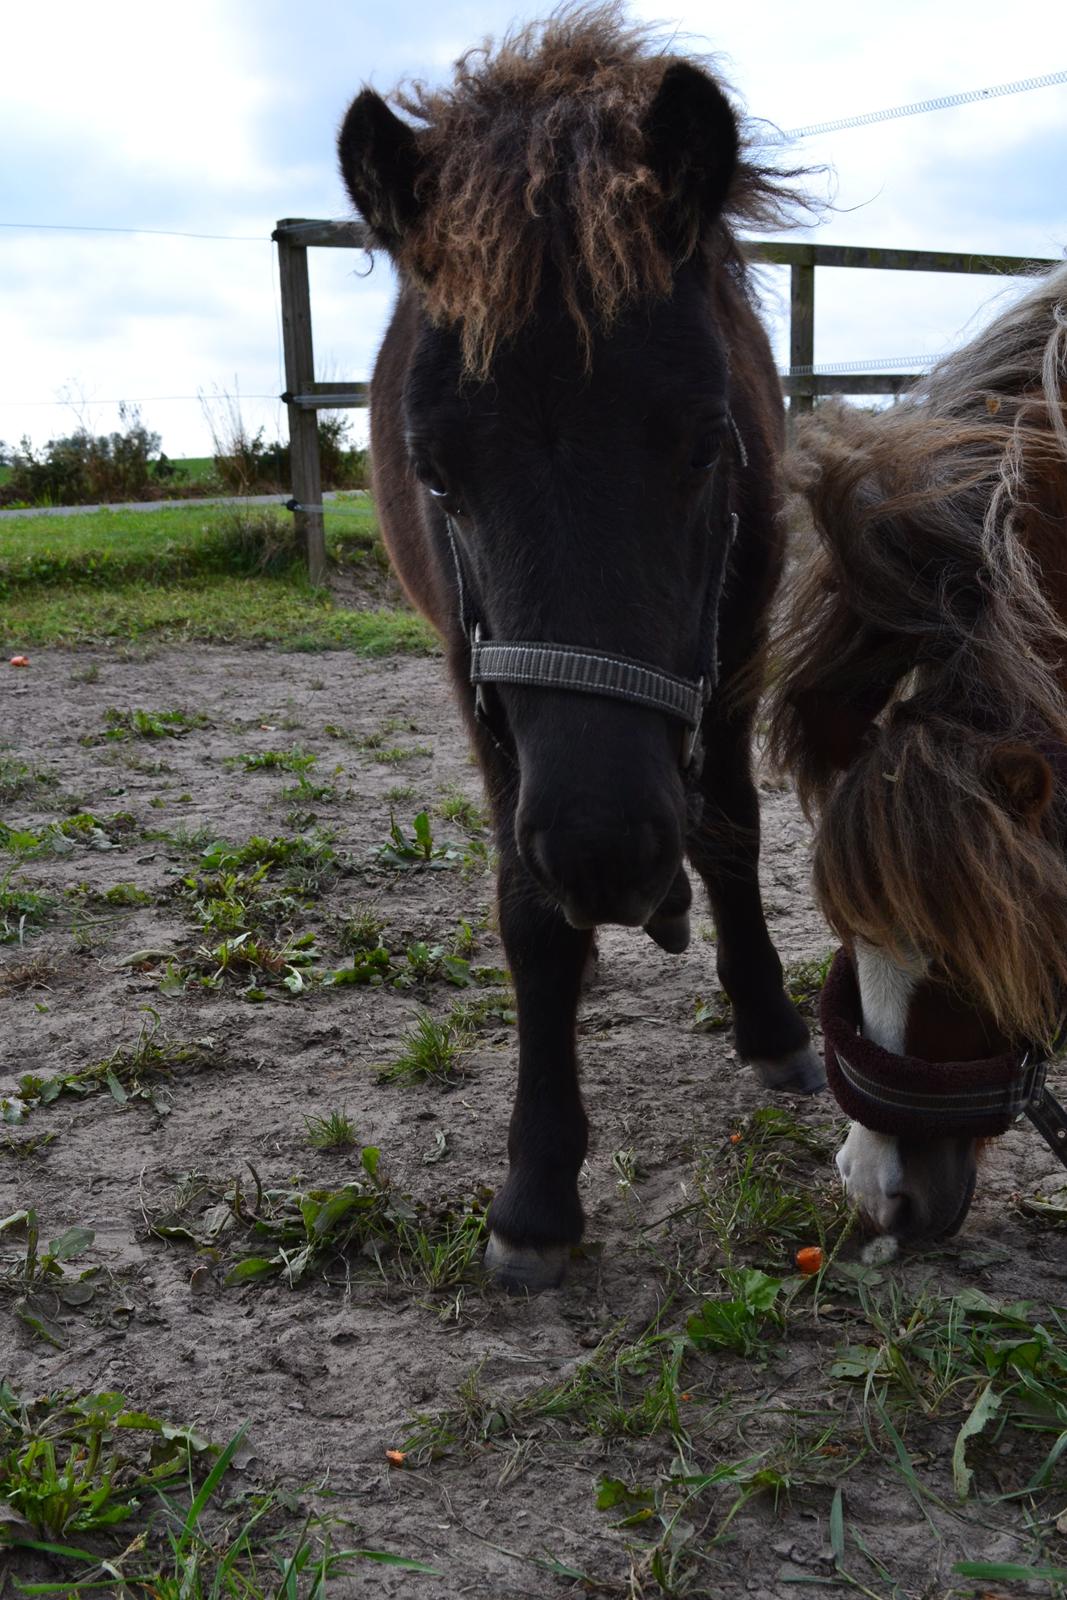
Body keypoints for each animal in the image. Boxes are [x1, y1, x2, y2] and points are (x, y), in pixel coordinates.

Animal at [340, 6, 819, 1292]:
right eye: (435, 470)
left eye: (705, 444)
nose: (604, 855)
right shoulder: (478, 684)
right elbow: (528, 912)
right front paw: (539, 1185)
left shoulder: (732, 654)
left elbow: (731, 831)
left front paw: (770, 1024)